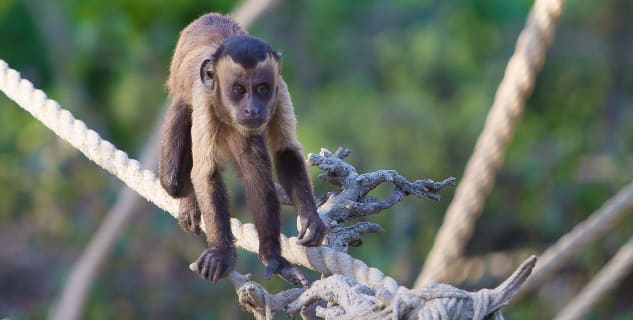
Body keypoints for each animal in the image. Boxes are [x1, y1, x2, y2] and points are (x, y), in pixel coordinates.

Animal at [158, 13, 328, 286]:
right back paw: (189, 200)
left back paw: (272, 258)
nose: (252, 109)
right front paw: (222, 252)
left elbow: (285, 151)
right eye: (239, 90)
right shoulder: (204, 98)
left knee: (254, 164)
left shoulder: (280, 90)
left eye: (262, 89)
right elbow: (205, 174)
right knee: (172, 179)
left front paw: (310, 217)